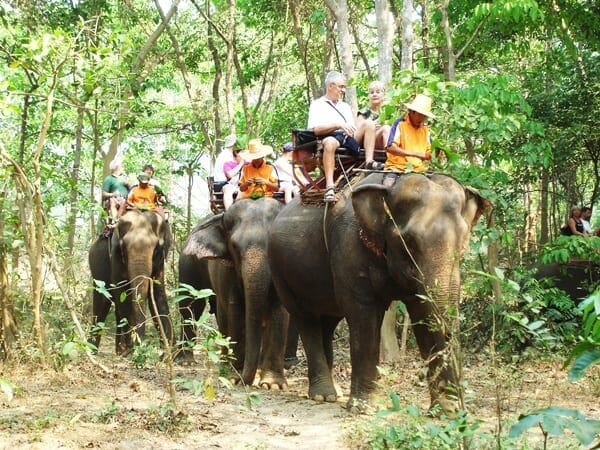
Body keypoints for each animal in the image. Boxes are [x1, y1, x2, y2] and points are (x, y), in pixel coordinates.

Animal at [89, 209, 173, 354]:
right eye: (123, 247)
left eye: (157, 247)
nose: (140, 346)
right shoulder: (115, 257)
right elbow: (122, 293)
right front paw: (131, 350)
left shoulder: (160, 262)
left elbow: (158, 294)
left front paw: (169, 353)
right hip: (96, 270)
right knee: (102, 303)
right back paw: (93, 350)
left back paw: (119, 350)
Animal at [178, 199, 288, 388]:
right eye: (235, 246)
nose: (245, 381)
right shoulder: (226, 271)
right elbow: (236, 313)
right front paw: (234, 377)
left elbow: (279, 314)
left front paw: (273, 384)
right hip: (188, 261)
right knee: (191, 307)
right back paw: (190, 361)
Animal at [270, 171, 490, 412]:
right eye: (409, 241)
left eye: (463, 240)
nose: (459, 407)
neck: (389, 189)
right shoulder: (348, 248)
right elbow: (363, 317)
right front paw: (362, 408)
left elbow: (423, 315)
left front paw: (446, 411)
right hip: (281, 273)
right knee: (306, 319)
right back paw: (322, 395)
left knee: (327, 322)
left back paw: (333, 392)